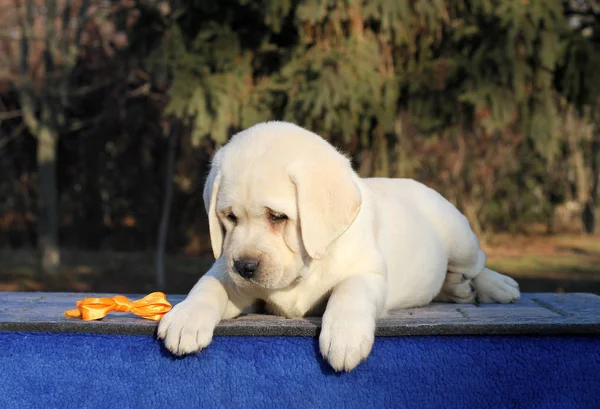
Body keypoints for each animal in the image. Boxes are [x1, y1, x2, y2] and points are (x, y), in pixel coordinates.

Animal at [157, 120, 516, 370]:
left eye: (277, 216)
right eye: (229, 217)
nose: (244, 267)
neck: (304, 268)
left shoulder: (369, 274)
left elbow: (349, 291)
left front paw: (344, 338)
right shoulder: (229, 273)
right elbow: (210, 284)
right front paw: (186, 317)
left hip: (460, 238)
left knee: (478, 262)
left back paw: (496, 286)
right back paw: (457, 288)